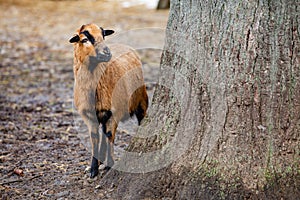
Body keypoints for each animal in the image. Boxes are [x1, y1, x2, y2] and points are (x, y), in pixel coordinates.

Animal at [68, 23, 148, 178]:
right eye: (84, 39)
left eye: (103, 35)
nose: (107, 53)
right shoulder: (89, 115)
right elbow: (95, 137)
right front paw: (93, 169)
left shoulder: (114, 112)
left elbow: (110, 136)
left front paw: (110, 165)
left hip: (141, 99)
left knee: (140, 120)